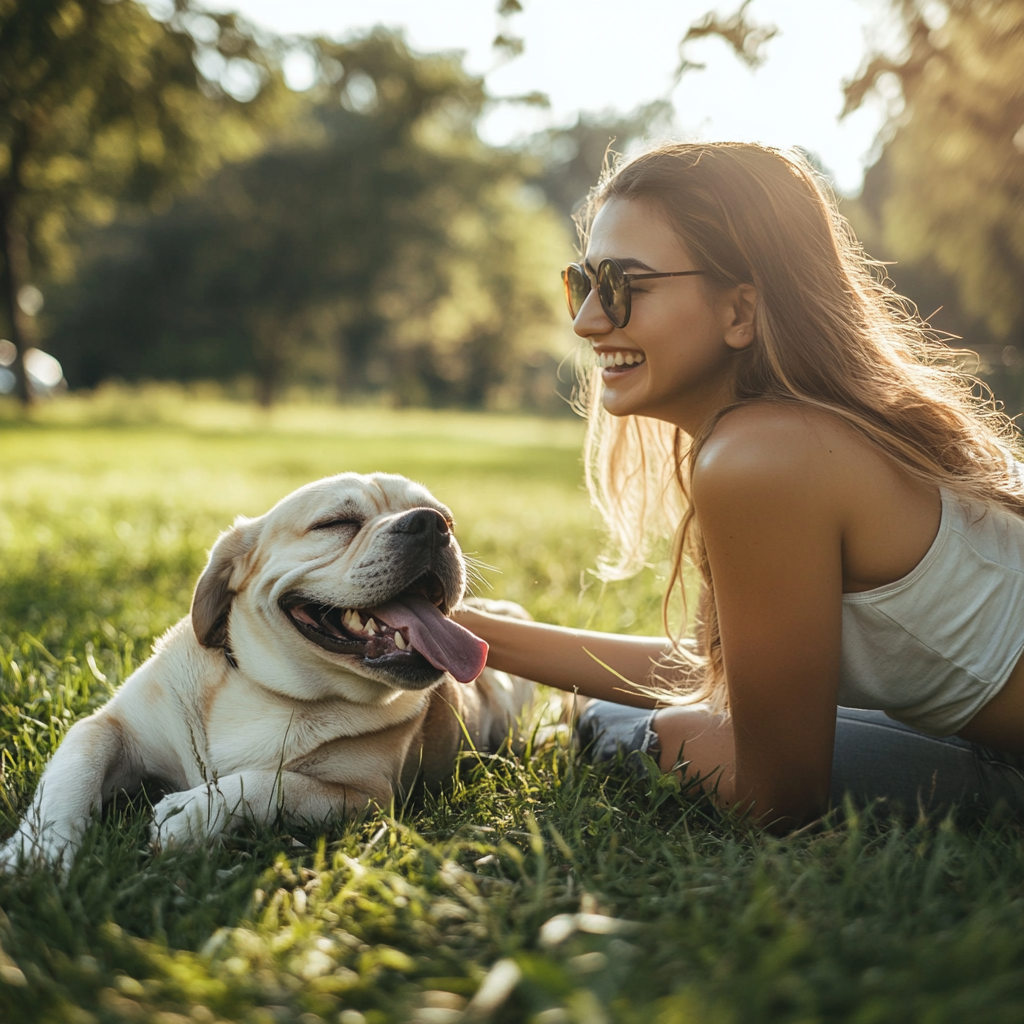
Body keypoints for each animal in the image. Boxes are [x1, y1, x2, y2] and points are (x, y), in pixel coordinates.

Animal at [2, 473, 536, 872]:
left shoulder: (363, 797)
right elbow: (73, 772)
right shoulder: (109, 728)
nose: (434, 525)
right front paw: (39, 850)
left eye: (448, 520)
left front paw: (196, 811)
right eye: (336, 522)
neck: (268, 689)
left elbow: (271, 782)